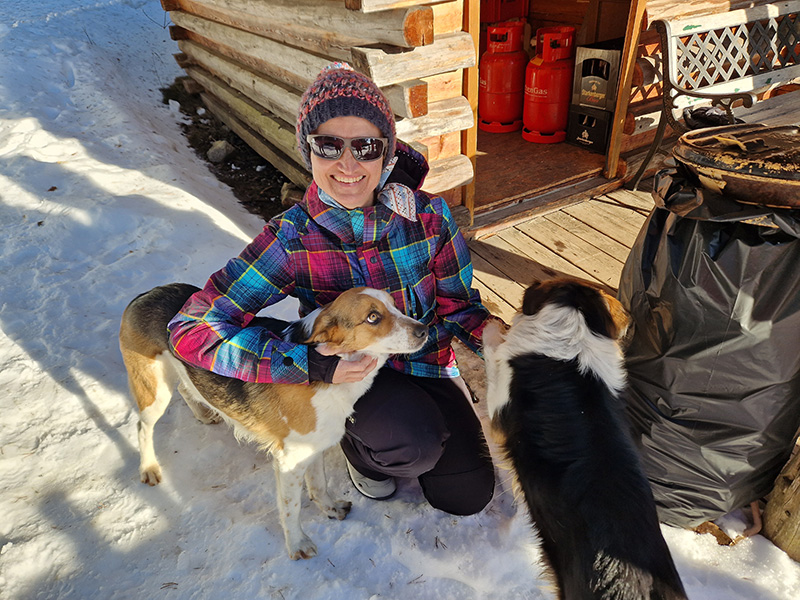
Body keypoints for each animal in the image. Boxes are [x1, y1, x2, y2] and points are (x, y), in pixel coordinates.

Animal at [119, 284, 428, 560]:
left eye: (395, 306)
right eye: (373, 317)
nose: (424, 330)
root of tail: (146, 294)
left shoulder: (314, 447)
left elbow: (319, 485)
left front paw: (329, 509)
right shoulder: (290, 460)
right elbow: (292, 507)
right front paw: (298, 544)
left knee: (186, 388)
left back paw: (203, 413)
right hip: (154, 390)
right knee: (143, 426)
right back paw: (149, 468)